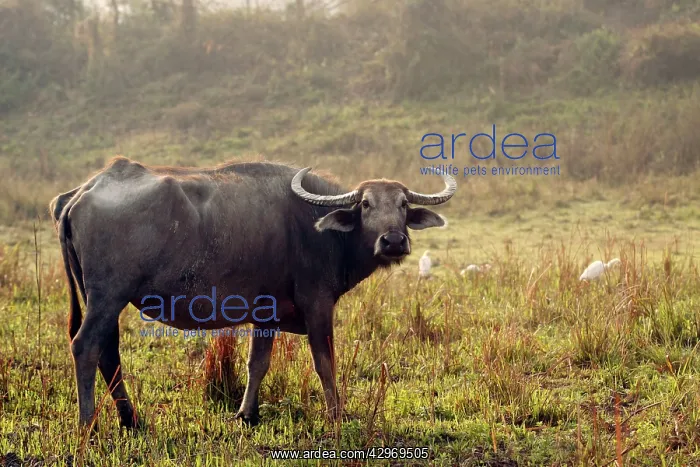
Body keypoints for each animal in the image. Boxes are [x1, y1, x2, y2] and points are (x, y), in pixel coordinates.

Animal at [49, 157, 456, 428]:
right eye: (366, 204)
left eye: (403, 204)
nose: (393, 241)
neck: (317, 228)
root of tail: (84, 191)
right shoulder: (317, 303)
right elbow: (325, 362)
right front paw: (335, 414)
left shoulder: (267, 313)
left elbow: (256, 363)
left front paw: (247, 414)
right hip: (108, 297)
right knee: (86, 347)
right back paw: (89, 423)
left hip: (101, 299)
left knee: (108, 352)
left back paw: (130, 419)